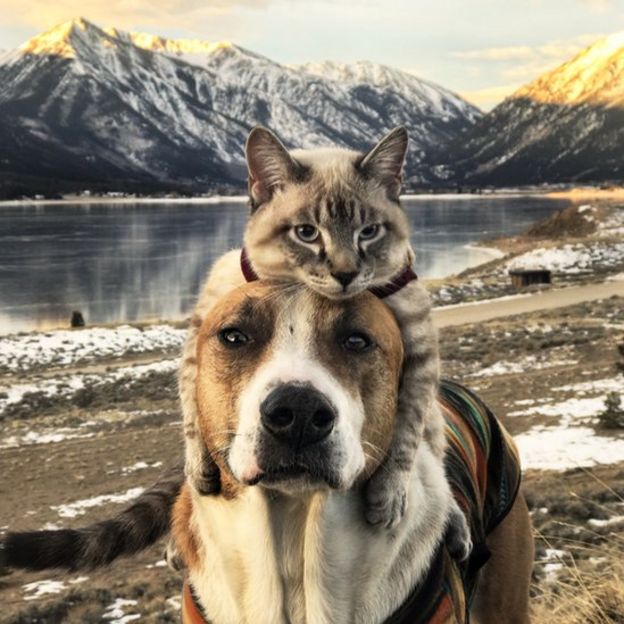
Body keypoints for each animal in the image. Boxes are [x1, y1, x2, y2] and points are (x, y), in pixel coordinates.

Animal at [178, 124, 470, 560]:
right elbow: (190, 411)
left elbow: (405, 437)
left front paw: (389, 494)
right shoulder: (199, 332)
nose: (345, 273)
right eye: (306, 233)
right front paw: (198, 467)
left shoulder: (419, 356)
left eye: (369, 232)